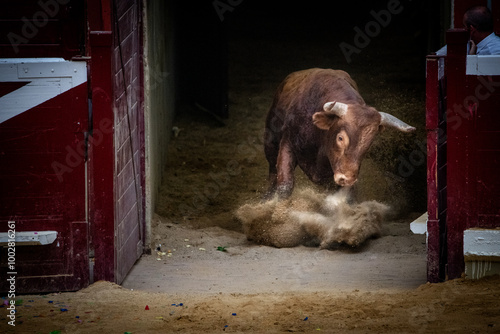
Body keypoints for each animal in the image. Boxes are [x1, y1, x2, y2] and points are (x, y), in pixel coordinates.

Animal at [264, 68, 416, 198]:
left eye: (368, 144)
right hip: (271, 143)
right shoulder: (288, 142)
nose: (346, 179)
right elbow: (284, 185)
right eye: (340, 138)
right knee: (272, 171)